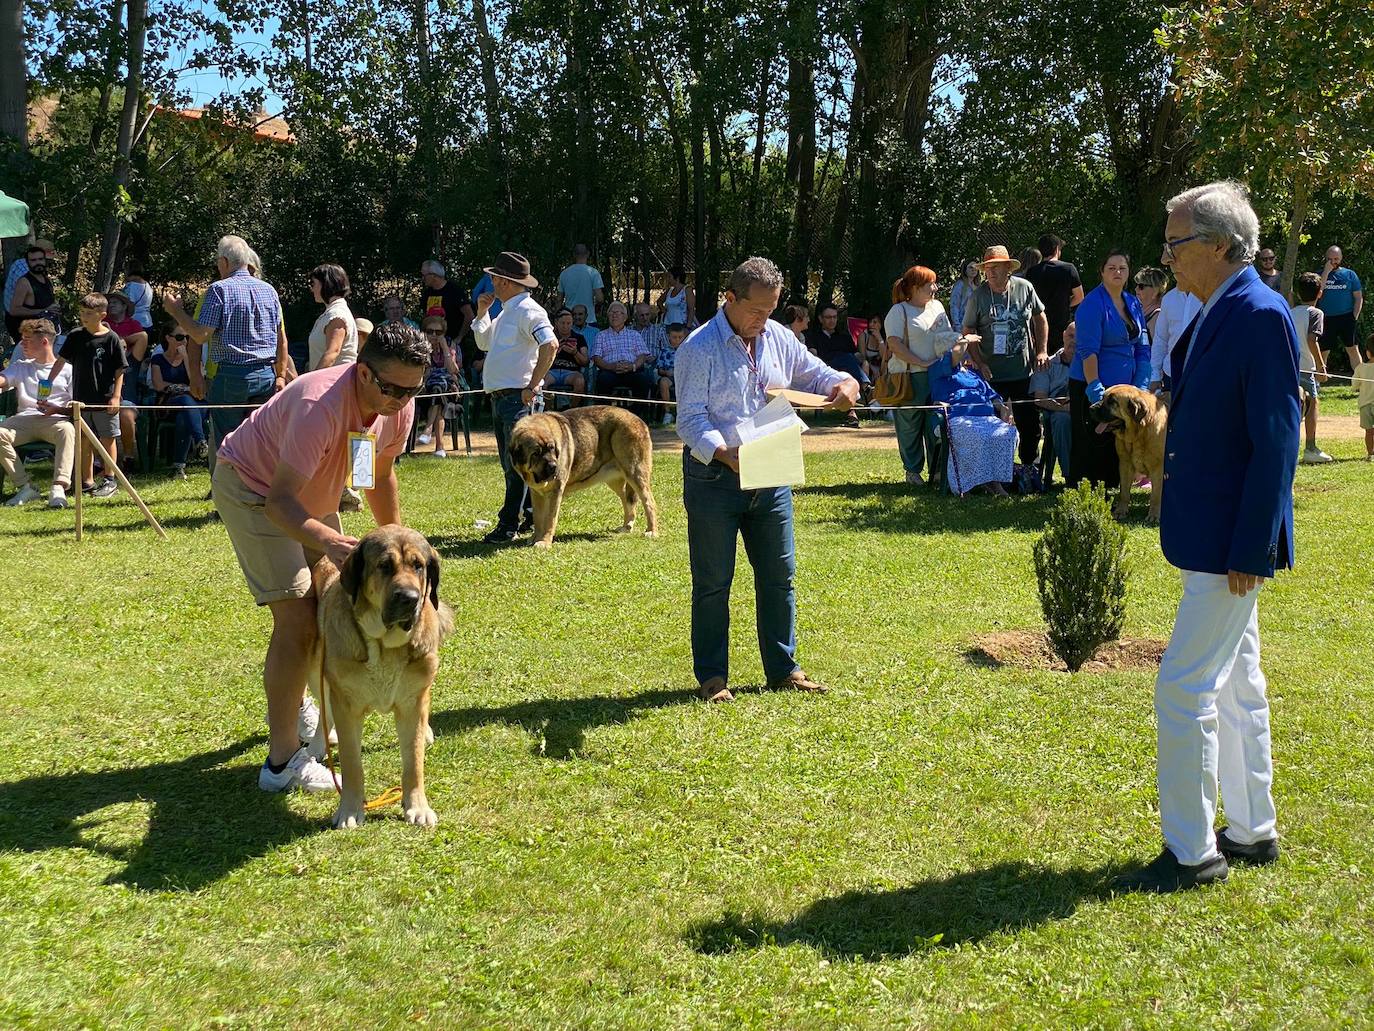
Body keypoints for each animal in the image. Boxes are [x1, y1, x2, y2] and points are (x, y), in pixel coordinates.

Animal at [307, 525, 453, 830]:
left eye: (418, 566)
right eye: (384, 566)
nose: (409, 598)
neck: (386, 646)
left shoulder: (412, 703)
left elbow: (414, 762)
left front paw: (418, 807)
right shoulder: (346, 706)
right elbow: (352, 764)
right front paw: (349, 810)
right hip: (315, 670)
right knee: (324, 710)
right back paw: (317, 744)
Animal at [508, 404, 656, 549]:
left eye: (552, 448)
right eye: (536, 454)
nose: (554, 466)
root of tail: (637, 419)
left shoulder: (556, 491)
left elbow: (550, 520)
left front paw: (544, 542)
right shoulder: (536, 493)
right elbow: (538, 519)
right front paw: (535, 538)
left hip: (635, 473)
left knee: (649, 502)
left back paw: (652, 531)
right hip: (616, 481)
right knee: (627, 500)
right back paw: (626, 527)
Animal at [1088, 384, 1165, 519]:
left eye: (1112, 402)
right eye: (1103, 397)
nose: (1090, 408)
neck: (1138, 434)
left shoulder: (1158, 468)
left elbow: (1156, 495)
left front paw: (1154, 515)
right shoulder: (1125, 465)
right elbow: (1124, 492)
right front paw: (1120, 511)